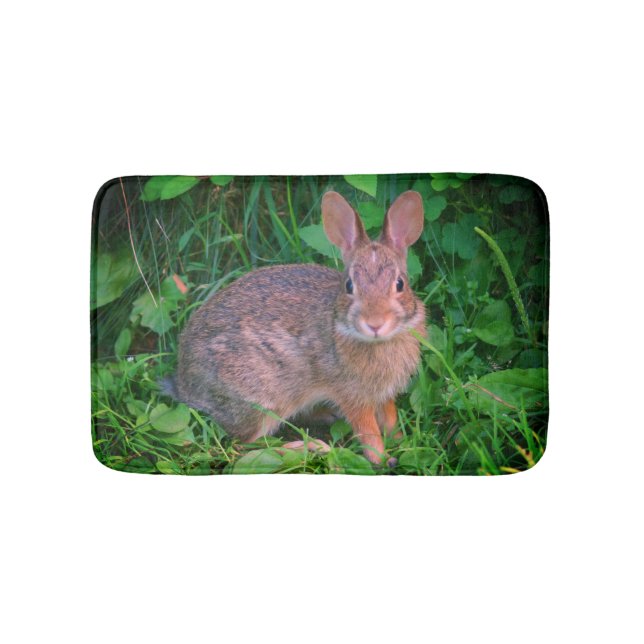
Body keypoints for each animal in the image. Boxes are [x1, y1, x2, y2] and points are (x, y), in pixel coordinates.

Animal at [172, 190, 426, 467]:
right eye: (349, 285)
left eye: (400, 284)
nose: (375, 323)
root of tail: (185, 384)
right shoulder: (353, 396)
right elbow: (368, 431)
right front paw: (382, 459)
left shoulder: (384, 394)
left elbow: (389, 418)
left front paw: (402, 441)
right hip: (263, 398)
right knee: (245, 445)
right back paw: (309, 447)